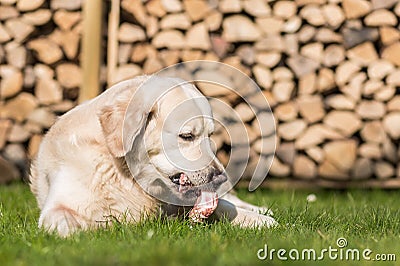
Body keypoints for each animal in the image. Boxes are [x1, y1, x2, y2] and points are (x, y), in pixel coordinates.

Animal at [29, 76, 276, 236]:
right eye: (187, 136)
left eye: (210, 135)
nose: (220, 177)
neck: (123, 174)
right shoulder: (59, 204)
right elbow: (59, 219)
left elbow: (226, 206)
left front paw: (262, 220)